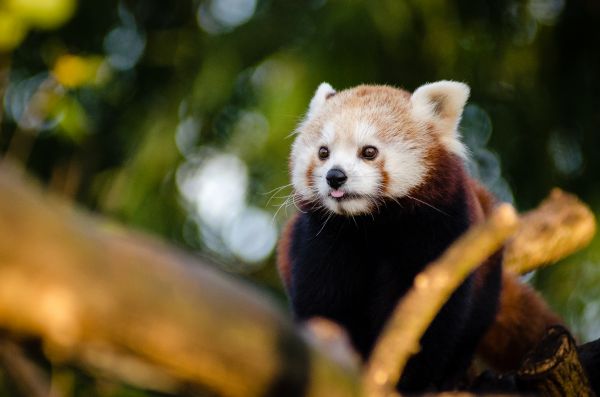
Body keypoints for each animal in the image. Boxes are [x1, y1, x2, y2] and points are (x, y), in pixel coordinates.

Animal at [276, 80, 564, 390]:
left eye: (369, 151)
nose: (335, 176)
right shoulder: (323, 242)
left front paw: (413, 378)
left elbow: (436, 318)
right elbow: (322, 303)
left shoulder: (441, 233)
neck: (370, 224)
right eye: (323, 152)